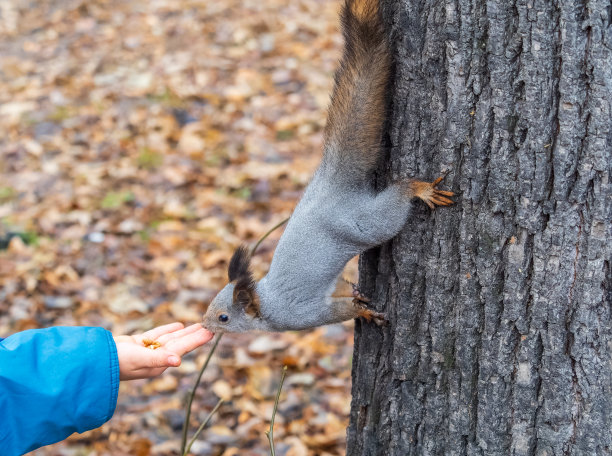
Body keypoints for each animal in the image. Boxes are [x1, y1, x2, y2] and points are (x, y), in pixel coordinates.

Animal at [203, 0, 452, 332]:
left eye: (224, 317)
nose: (203, 325)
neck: (267, 303)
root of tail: (331, 183)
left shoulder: (299, 314)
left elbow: (336, 311)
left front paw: (363, 312)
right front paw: (358, 297)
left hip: (365, 223)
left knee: (393, 206)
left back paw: (417, 189)